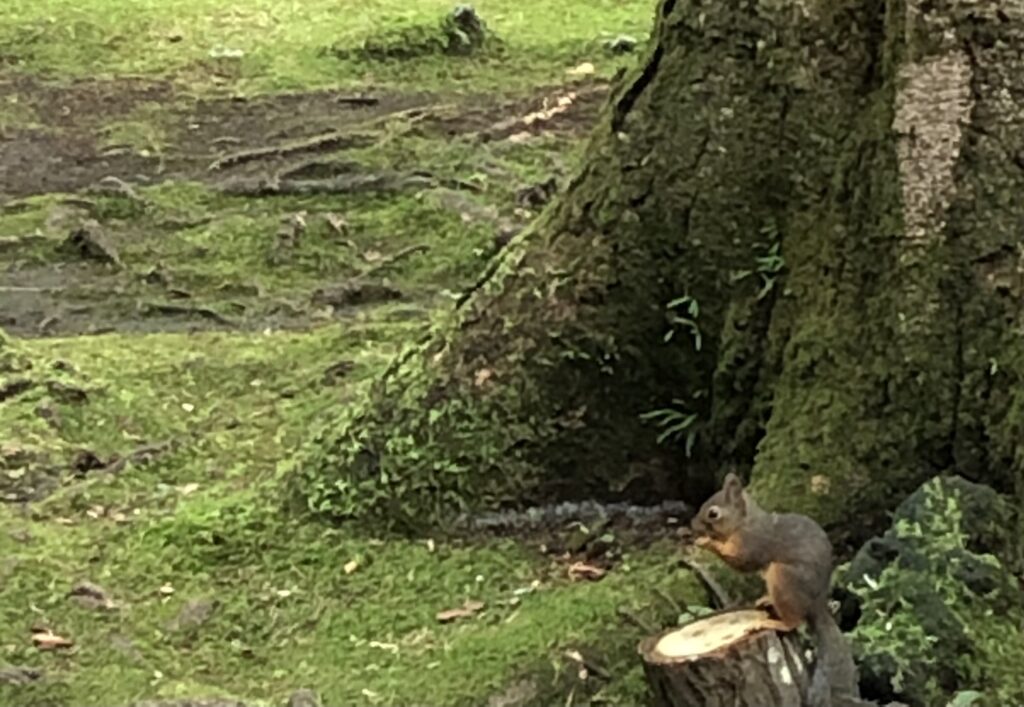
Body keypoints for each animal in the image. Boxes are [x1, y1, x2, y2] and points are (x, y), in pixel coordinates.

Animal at [684, 467, 860, 704]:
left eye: (713, 513)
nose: (693, 525)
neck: (745, 522)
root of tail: (816, 605)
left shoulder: (752, 543)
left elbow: (740, 561)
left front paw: (706, 542)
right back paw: (767, 600)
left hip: (783, 579)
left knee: (793, 622)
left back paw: (772, 623)